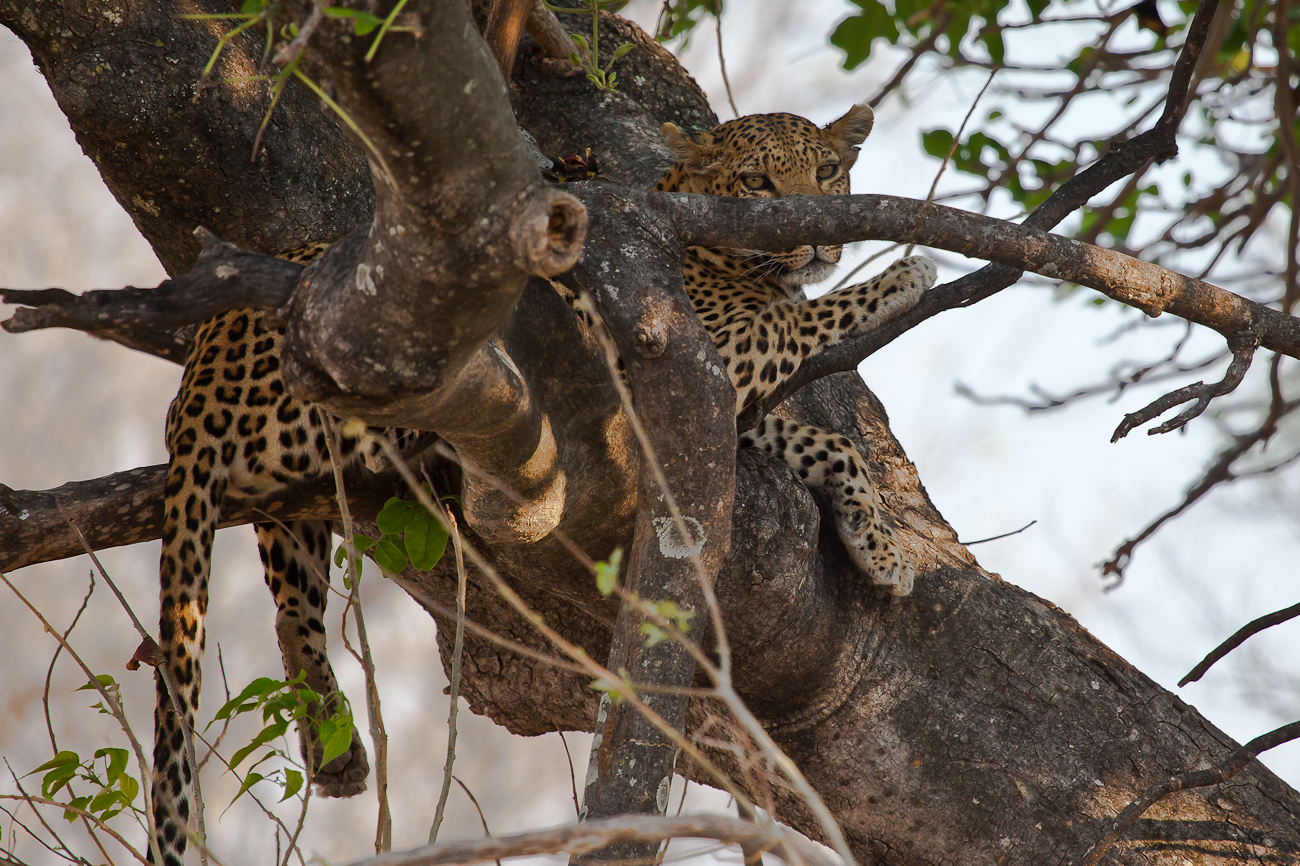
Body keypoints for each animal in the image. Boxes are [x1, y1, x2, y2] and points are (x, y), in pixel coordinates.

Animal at [144, 102, 935, 863]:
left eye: (827, 171)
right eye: (757, 183)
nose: (820, 242)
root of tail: (197, 382)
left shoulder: (714, 408)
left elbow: (832, 443)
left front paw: (880, 548)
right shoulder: (706, 356)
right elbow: (800, 320)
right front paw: (903, 277)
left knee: (289, 605)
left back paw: (332, 748)